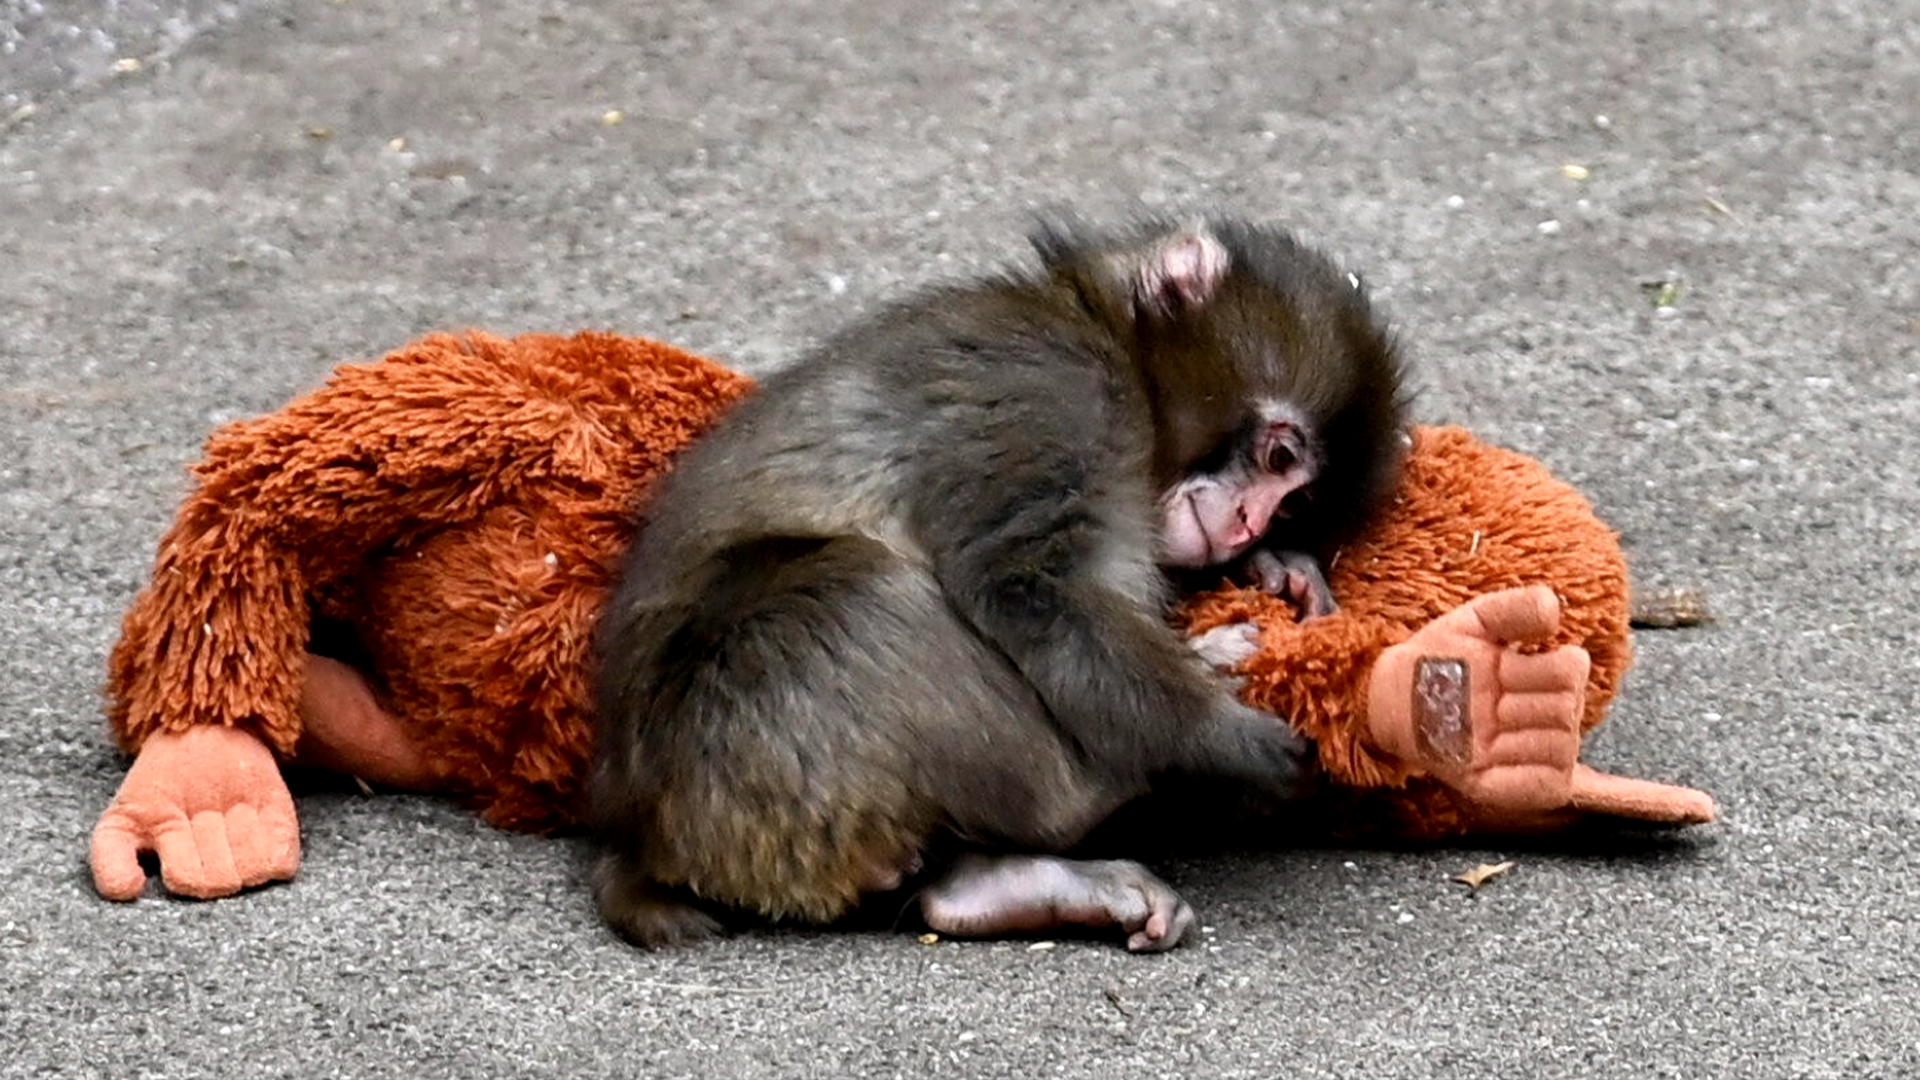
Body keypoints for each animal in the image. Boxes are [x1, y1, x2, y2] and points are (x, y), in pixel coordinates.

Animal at [589, 212, 1409, 952]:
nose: (1247, 524)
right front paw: (1218, 735)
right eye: (1278, 459)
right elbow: (1029, 586)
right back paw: (1107, 786)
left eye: (1294, 503)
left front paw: (1277, 569)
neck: (1112, 345)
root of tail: (641, 838)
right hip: (738, 753)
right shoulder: (1053, 393)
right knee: (859, 591)